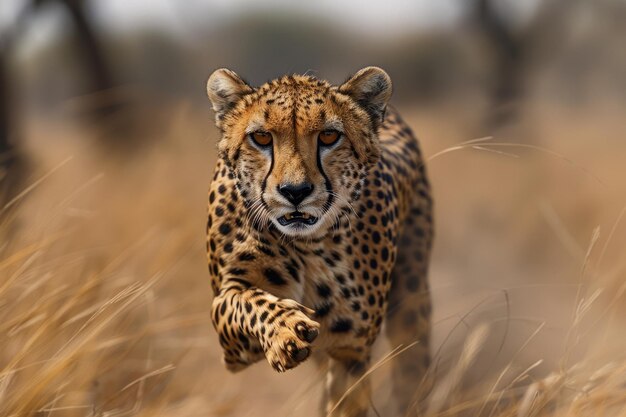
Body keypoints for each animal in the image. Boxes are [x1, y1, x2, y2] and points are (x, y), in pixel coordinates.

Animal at [207, 66, 432, 414]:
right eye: (261, 137)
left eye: (329, 136)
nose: (295, 191)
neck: (306, 244)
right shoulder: (231, 343)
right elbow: (249, 302)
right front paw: (287, 331)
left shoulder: (351, 350)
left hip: (412, 299)